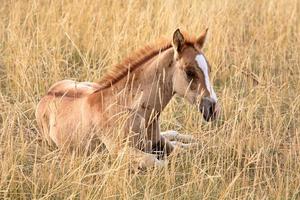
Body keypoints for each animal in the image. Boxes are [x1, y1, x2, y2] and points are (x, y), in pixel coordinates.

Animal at [36, 28, 221, 169]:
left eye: (209, 68)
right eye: (189, 71)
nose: (212, 109)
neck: (135, 110)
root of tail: (47, 94)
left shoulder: (160, 142)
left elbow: (186, 151)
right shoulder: (121, 152)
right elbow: (161, 162)